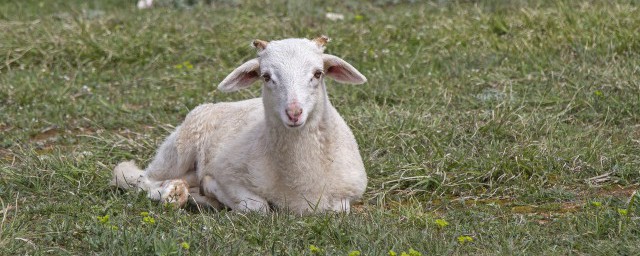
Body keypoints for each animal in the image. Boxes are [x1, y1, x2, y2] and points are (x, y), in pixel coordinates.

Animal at [112, 36, 368, 214]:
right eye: (266, 76)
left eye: (318, 73)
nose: (294, 113)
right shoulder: (229, 174)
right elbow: (258, 207)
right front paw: (212, 189)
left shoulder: (348, 195)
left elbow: (339, 209)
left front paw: (207, 195)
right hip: (178, 149)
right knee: (140, 179)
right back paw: (174, 194)